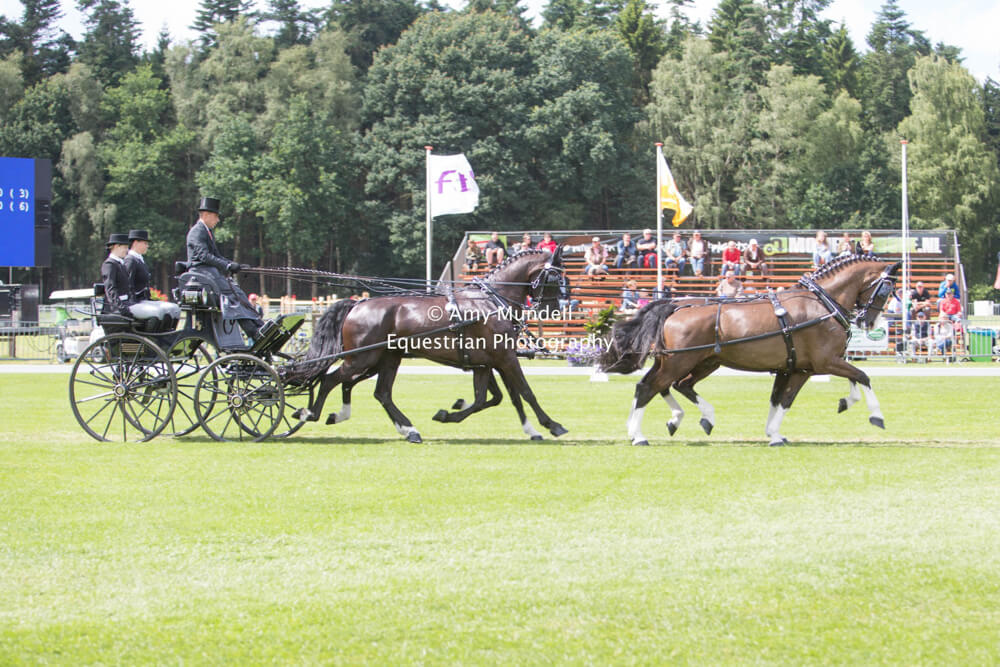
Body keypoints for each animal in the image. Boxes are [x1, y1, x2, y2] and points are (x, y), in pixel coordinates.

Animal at [285, 249, 569, 442]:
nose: (554, 310)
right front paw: (552, 425)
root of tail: (358, 303)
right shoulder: (505, 359)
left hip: (386, 358)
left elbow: (495, 398)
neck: (491, 302)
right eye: (556, 278)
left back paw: (407, 429)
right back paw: (309, 413)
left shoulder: (486, 363)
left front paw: (449, 413)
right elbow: (524, 393)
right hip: (361, 358)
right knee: (331, 380)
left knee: (378, 392)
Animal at [599, 254, 901, 446]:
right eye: (886, 290)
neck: (822, 304)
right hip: (680, 362)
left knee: (670, 385)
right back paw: (639, 435)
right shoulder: (822, 363)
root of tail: (676, 306)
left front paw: (774, 433)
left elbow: (780, 400)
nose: (868, 321)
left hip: (698, 362)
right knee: (650, 387)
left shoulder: (795, 368)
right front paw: (876, 416)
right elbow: (861, 377)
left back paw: (685, 420)